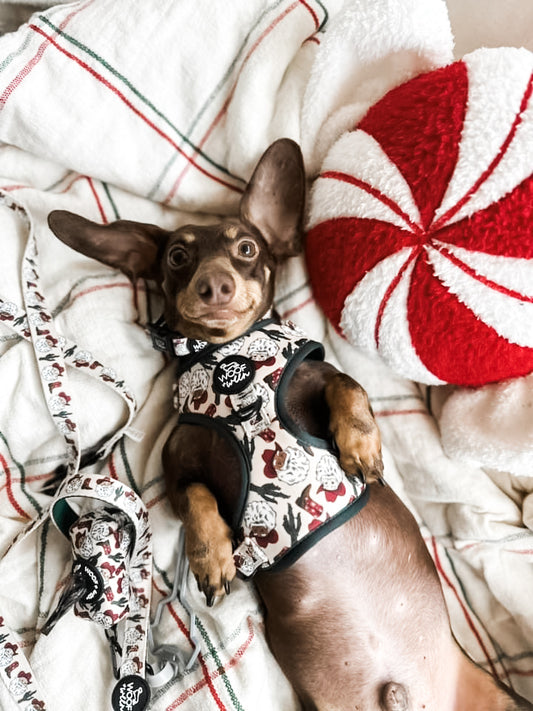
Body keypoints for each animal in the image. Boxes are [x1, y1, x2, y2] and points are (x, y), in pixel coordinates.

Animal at [47, 140, 528, 711]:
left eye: (247, 248)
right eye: (177, 256)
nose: (215, 284)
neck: (229, 357)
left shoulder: (319, 375)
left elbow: (349, 387)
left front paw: (361, 444)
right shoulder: (177, 457)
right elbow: (194, 497)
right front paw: (212, 557)